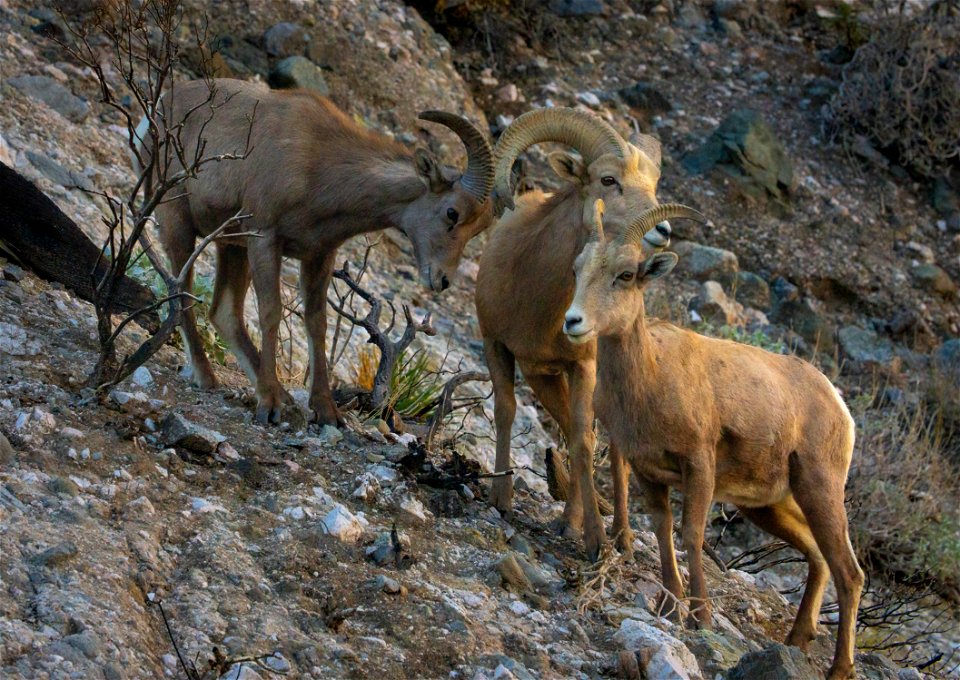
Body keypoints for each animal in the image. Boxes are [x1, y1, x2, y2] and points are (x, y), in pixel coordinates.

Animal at [144, 78, 496, 424]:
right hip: (178, 222)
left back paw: (281, 394)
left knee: (224, 312)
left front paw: (327, 411)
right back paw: (208, 377)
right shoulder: (264, 238)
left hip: (230, 245)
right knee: (181, 294)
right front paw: (268, 406)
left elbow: (318, 322)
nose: (442, 280)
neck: (318, 160)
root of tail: (158, 110)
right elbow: (271, 312)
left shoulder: (319, 256)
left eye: (478, 229)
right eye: (452, 212)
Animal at [476, 107, 672, 564]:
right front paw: (500, 499)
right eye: (607, 179)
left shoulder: (583, 367)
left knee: (611, 448)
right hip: (545, 379)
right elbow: (507, 413)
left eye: (653, 186)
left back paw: (619, 534)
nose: (663, 230)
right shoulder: (500, 348)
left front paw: (589, 538)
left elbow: (584, 443)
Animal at [568, 202, 868, 680]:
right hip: (768, 506)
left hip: (819, 490)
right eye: (578, 269)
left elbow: (691, 534)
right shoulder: (649, 474)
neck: (652, 377)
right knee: (819, 558)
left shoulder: (699, 465)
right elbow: (664, 530)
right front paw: (669, 609)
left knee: (850, 573)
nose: (573, 322)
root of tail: (837, 403)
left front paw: (701, 617)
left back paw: (839, 669)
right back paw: (796, 641)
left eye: (626, 275)